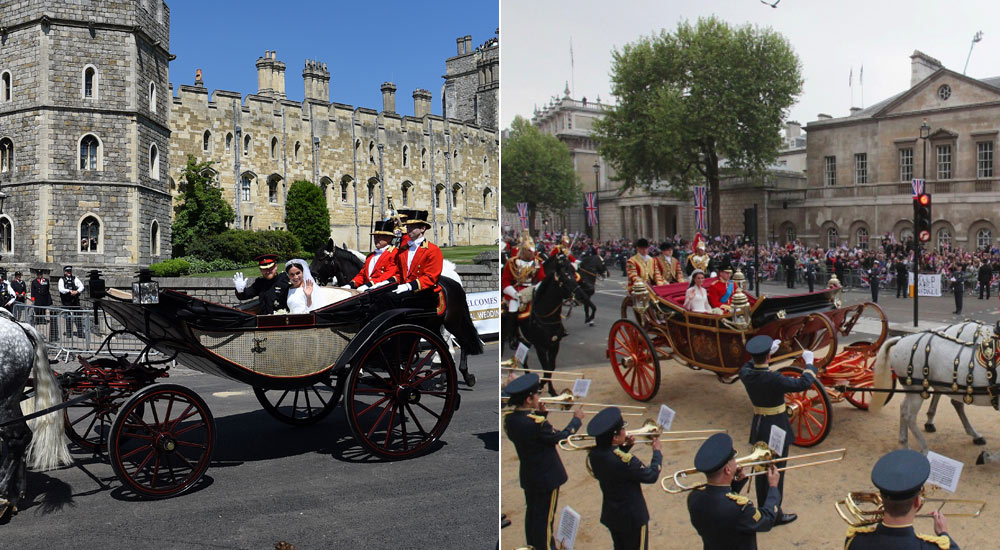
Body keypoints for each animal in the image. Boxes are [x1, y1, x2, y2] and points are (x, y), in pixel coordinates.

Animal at [872, 324, 996, 466]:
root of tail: (901, 339)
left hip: (913, 390)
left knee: (904, 409)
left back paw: (904, 443)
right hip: (917, 390)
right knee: (910, 416)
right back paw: (924, 448)